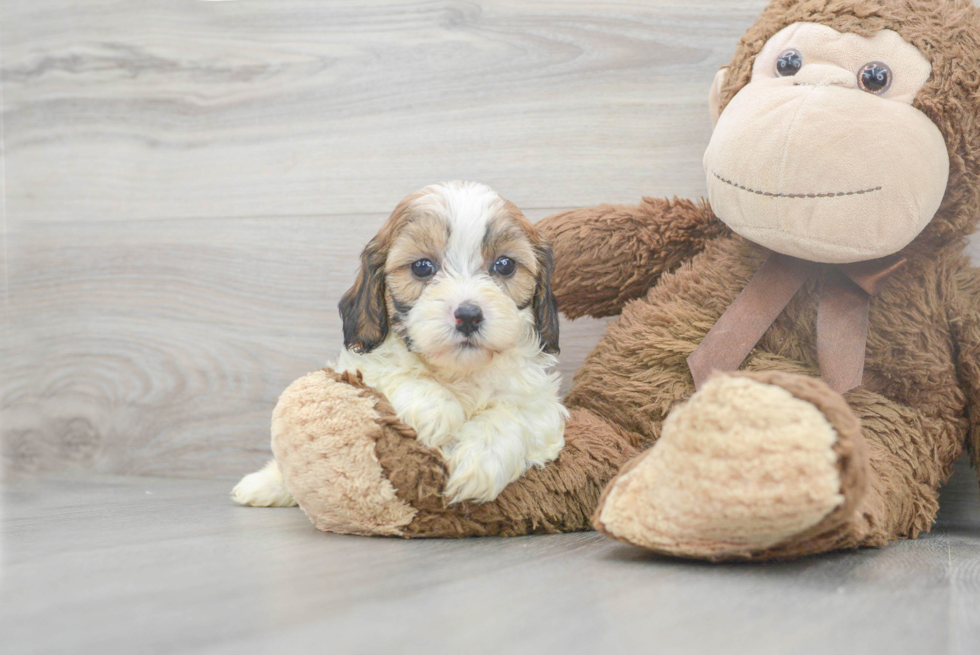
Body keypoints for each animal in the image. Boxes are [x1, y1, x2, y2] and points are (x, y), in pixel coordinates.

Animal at [235, 182, 568, 510]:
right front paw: (436, 411)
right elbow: (397, 376)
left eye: (505, 265)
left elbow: (513, 416)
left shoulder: (541, 406)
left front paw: (478, 461)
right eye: (422, 267)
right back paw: (263, 485)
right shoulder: (362, 366)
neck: (457, 373)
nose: (469, 316)